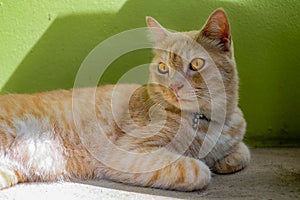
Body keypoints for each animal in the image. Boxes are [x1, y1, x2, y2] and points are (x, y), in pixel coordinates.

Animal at [0, 8, 250, 191]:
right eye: (163, 67)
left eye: (196, 64)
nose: (173, 86)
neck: (206, 121)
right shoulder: (129, 152)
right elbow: (197, 170)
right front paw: (206, 165)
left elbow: (243, 152)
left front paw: (225, 161)